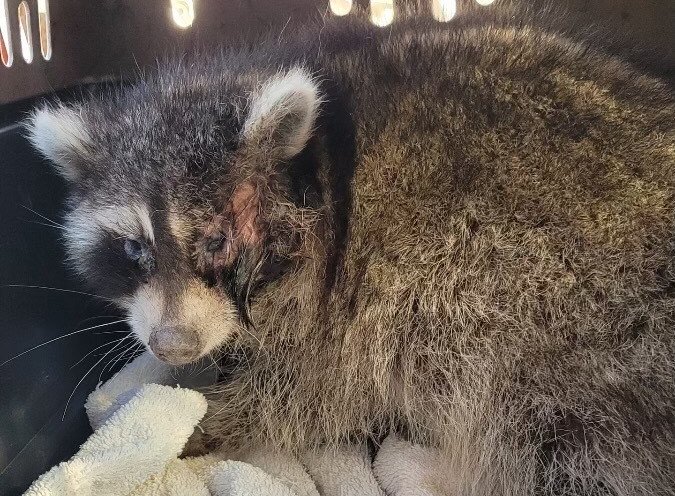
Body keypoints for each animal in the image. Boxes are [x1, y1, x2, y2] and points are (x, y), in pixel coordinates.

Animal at [25, 1, 675, 494]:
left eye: (215, 239)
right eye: (133, 248)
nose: (171, 344)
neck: (313, 167)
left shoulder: (346, 309)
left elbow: (301, 397)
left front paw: (203, 423)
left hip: (563, 335)